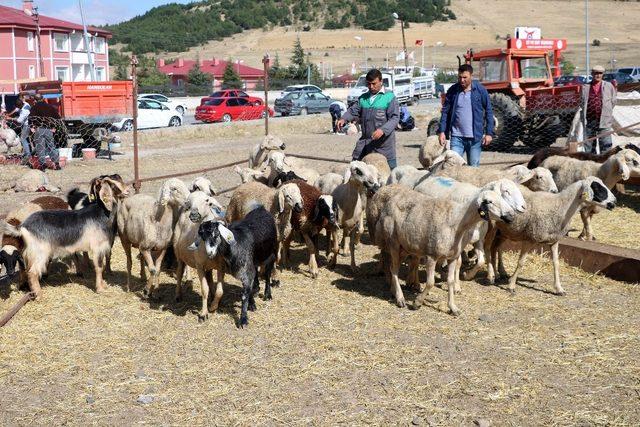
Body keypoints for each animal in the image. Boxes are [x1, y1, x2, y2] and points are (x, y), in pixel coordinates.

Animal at [0, 177, 130, 298]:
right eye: (113, 185)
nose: (128, 191)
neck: (101, 213)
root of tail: (22, 227)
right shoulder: (97, 248)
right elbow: (98, 267)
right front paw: (100, 289)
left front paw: (103, 285)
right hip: (40, 252)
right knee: (32, 272)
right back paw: (39, 295)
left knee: (26, 269)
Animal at [172, 191, 228, 320]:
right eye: (189, 202)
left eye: (207, 201)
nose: (193, 214)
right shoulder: (199, 266)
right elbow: (204, 289)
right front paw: (204, 313)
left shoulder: (221, 267)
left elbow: (220, 291)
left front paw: (213, 306)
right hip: (179, 256)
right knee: (179, 273)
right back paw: (178, 295)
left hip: (209, 266)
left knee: (210, 279)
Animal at [372, 182, 516, 316]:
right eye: (489, 202)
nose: (511, 216)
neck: (457, 221)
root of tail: (390, 201)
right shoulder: (432, 256)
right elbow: (430, 282)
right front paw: (417, 303)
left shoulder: (452, 257)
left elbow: (450, 281)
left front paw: (453, 307)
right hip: (393, 242)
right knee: (394, 269)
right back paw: (400, 298)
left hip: (405, 246)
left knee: (393, 267)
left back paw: (394, 291)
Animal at [488, 176, 616, 294]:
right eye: (597, 188)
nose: (614, 202)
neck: (560, 207)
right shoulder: (530, 238)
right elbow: (521, 262)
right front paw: (511, 286)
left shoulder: (554, 241)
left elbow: (556, 263)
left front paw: (559, 288)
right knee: (491, 247)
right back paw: (494, 274)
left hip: (504, 231)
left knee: (495, 248)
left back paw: (500, 272)